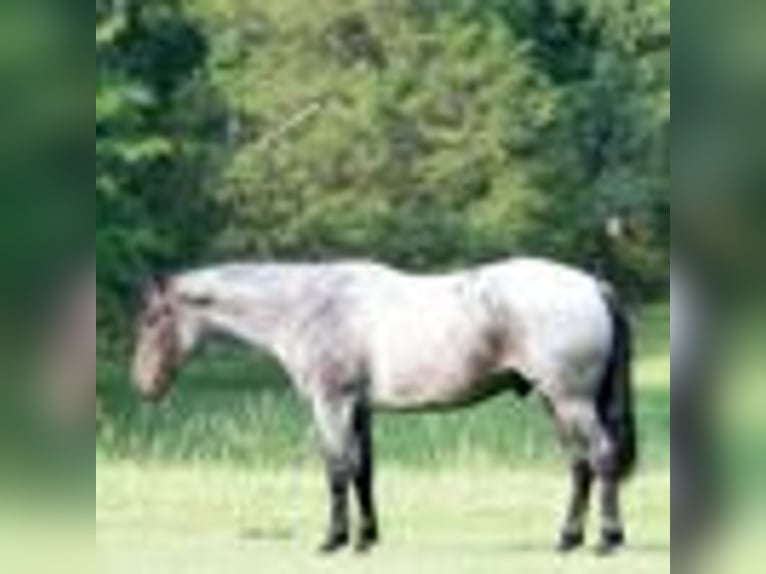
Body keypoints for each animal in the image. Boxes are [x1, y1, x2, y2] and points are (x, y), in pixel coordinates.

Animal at [131, 257, 637, 554]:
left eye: (154, 318)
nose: (143, 386)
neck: (311, 306)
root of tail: (593, 285)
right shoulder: (359, 409)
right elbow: (363, 472)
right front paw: (367, 538)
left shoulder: (331, 403)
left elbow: (337, 470)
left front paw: (335, 540)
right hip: (557, 403)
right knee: (581, 467)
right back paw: (568, 539)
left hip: (571, 402)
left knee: (601, 457)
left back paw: (607, 540)